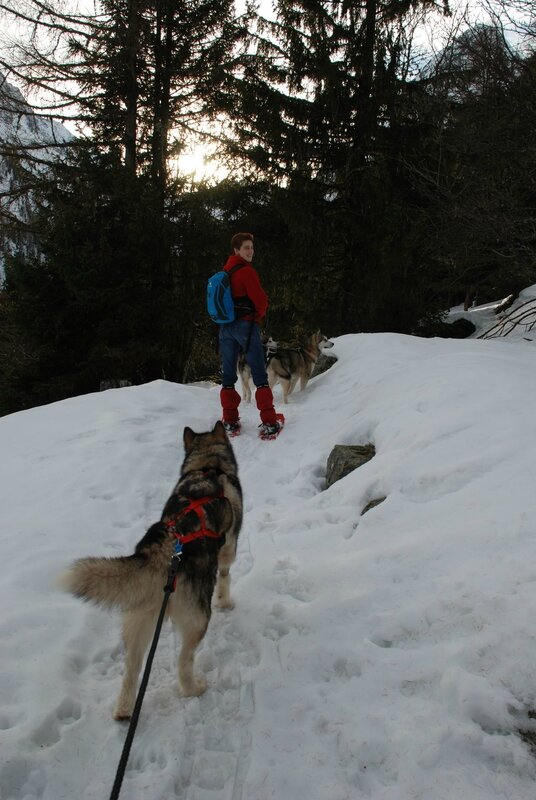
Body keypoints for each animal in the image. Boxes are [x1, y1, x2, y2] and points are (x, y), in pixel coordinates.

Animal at [59, 422, 243, 720]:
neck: (208, 468)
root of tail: (162, 551)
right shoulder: (228, 549)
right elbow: (226, 577)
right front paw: (226, 602)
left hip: (138, 620)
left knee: (132, 667)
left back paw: (124, 710)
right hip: (196, 619)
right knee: (183, 661)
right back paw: (194, 688)